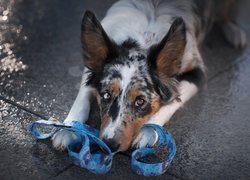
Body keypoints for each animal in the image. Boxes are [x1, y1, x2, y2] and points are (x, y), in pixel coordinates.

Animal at [50, 0, 246, 152]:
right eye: (106, 95)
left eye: (140, 101)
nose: (109, 144)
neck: (143, 38)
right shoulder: (91, 70)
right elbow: (82, 99)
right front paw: (69, 128)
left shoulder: (197, 73)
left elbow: (172, 101)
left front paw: (149, 132)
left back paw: (234, 31)